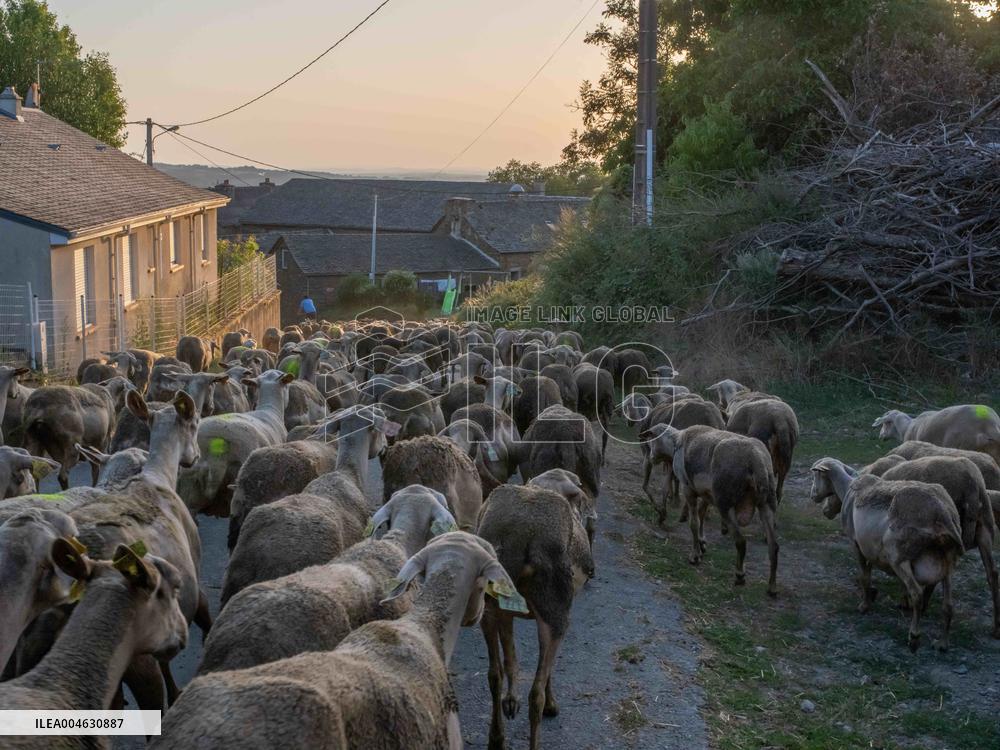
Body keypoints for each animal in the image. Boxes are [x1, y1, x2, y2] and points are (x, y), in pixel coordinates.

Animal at [477, 481, 594, 750]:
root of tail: (517, 538)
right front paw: (551, 705)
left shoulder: (506, 611)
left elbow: (510, 661)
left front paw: (511, 702)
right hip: (556, 613)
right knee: (536, 694)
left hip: (487, 606)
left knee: (494, 674)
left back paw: (496, 737)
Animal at [647, 424, 779, 594]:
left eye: (652, 440)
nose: (651, 458)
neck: (675, 443)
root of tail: (757, 461)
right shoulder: (707, 494)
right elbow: (702, 515)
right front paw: (702, 543)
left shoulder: (689, 489)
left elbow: (694, 523)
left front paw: (695, 555)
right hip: (767, 503)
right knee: (773, 546)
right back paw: (772, 587)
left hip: (725, 502)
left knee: (741, 541)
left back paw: (740, 575)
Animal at [810, 458, 964, 651]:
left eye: (816, 474)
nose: (812, 496)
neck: (847, 488)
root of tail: (942, 513)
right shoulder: (869, 547)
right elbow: (870, 574)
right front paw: (873, 595)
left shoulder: (856, 543)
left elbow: (864, 576)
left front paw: (864, 605)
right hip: (948, 562)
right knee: (948, 605)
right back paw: (942, 643)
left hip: (899, 555)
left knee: (917, 595)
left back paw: (914, 636)